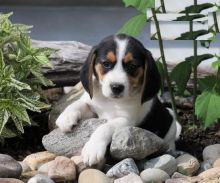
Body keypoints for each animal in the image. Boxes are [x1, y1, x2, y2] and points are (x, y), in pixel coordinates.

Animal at [55, 33, 181, 167]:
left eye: (132, 66)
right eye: (106, 64)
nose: (116, 87)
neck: (111, 101)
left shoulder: (126, 120)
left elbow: (105, 127)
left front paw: (92, 148)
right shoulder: (93, 108)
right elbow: (78, 104)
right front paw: (66, 117)